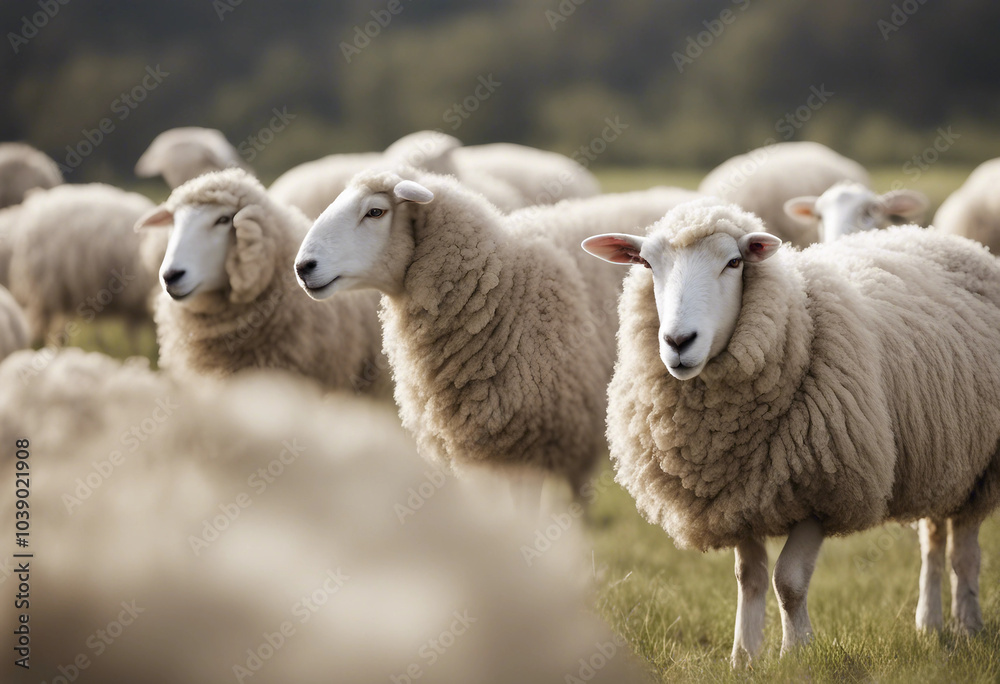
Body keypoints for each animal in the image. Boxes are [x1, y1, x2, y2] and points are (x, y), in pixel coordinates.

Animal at [582, 200, 1000, 666]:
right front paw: (744, 658)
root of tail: (939, 236)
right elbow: (749, 577)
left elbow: (789, 580)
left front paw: (796, 653)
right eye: (647, 265)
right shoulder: (737, 497)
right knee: (934, 540)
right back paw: (929, 624)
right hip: (944, 457)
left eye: (734, 262)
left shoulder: (823, 487)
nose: (678, 341)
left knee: (965, 551)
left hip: (983, 467)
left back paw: (969, 626)